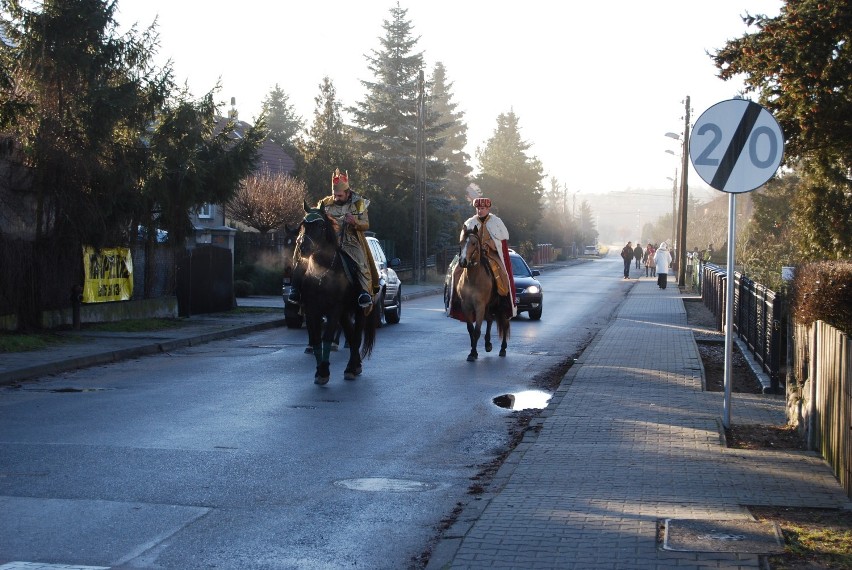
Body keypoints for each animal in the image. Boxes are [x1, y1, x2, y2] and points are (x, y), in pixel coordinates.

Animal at [300, 200, 380, 382]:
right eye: (303, 224)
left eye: (320, 225)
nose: (303, 248)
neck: (322, 272)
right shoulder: (312, 310)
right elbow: (316, 339)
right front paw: (319, 370)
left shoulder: (334, 309)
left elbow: (327, 337)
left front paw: (324, 371)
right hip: (344, 312)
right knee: (350, 335)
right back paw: (354, 366)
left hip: (359, 310)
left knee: (356, 337)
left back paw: (352, 367)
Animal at [456, 225, 510, 360]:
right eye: (461, 242)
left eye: (474, 243)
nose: (463, 261)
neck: (473, 279)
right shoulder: (466, 306)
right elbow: (470, 329)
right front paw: (473, 350)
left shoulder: (479, 306)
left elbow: (477, 331)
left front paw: (473, 353)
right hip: (489, 305)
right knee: (490, 319)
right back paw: (488, 344)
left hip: (500, 305)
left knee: (505, 323)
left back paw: (503, 348)